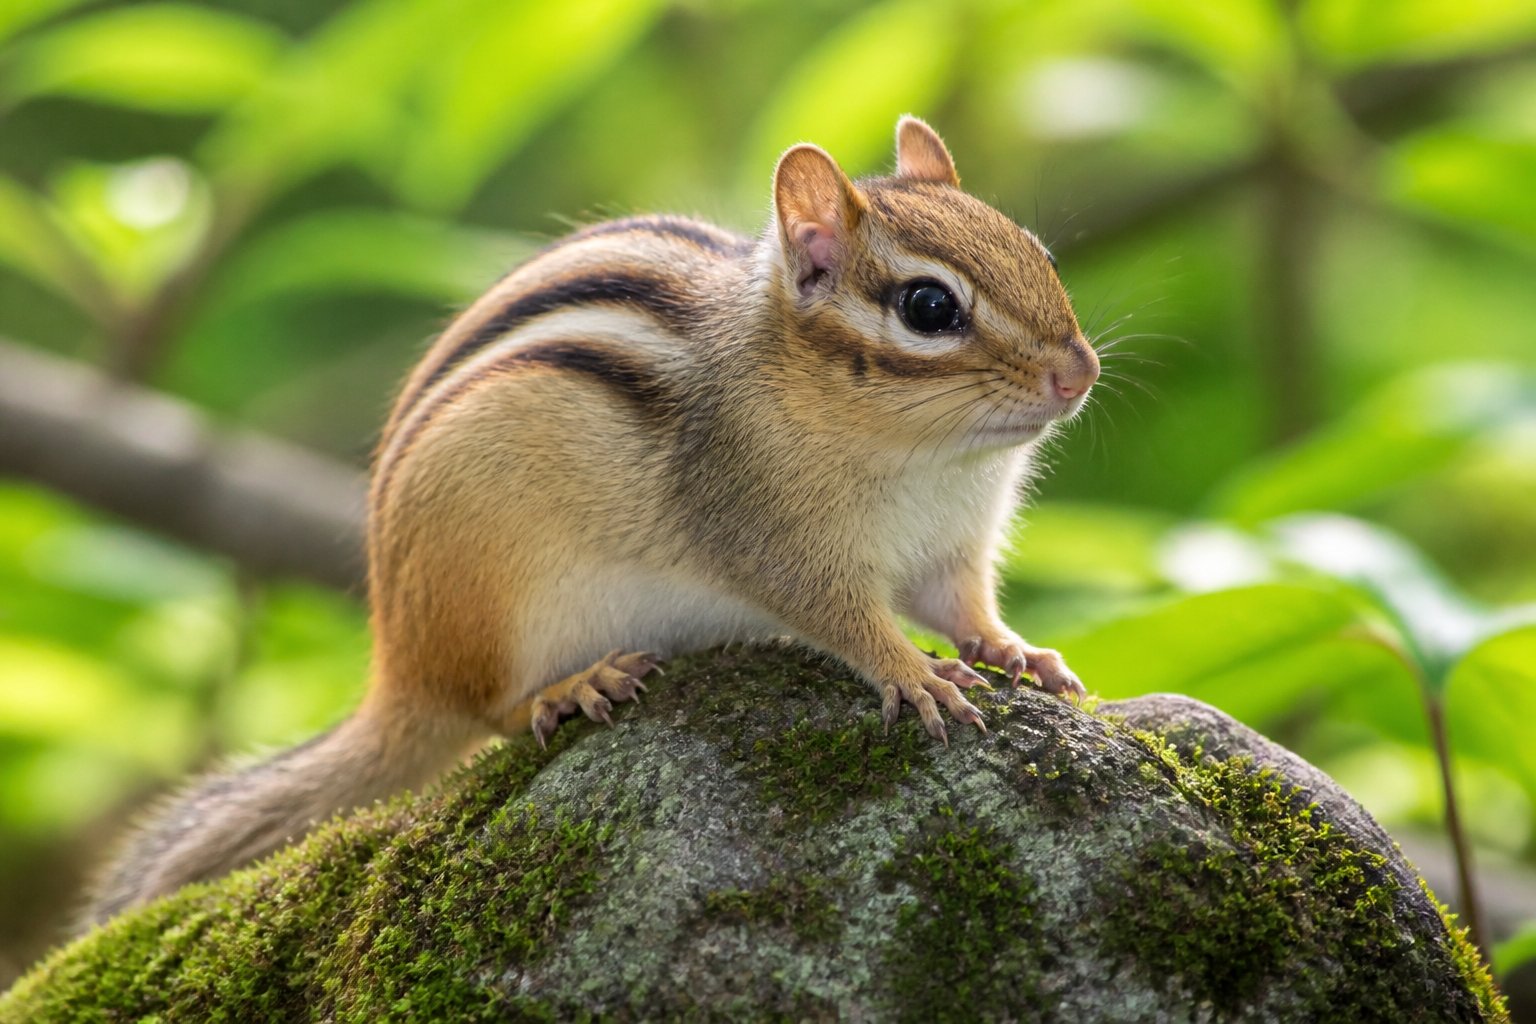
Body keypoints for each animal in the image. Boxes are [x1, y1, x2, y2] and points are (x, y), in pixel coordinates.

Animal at [85, 116, 1099, 925]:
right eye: (929, 307)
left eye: (1040, 254)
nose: (1078, 374)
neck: (936, 462)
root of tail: (399, 667)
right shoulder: (768, 531)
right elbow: (842, 618)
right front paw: (911, 674)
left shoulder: (953, 549)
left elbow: (963, 607)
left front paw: (1016, 652)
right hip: (503, 601)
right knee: (487, 711)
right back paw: (569, 689)